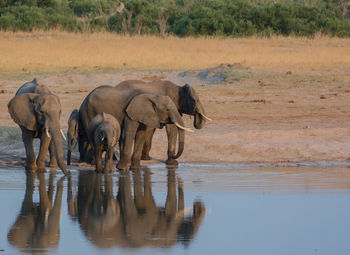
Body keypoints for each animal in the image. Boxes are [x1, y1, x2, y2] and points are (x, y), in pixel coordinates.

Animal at [78, 80, 211, 167]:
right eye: (195, 100)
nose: (197, 122)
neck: (178, 87)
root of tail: (84, 99)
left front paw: (147, 159)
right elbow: (171, 130)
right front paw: (172, 163)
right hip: (88, 114)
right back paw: (94, 162)